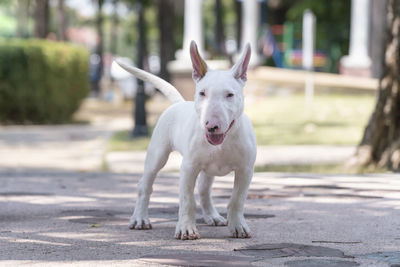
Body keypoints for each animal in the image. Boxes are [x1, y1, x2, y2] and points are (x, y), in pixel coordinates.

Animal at [116, 41, 256, 241]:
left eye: (230, 95)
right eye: (202, 93)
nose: (211, 126)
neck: (223, 143)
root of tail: (178, 103)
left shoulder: (246, 170)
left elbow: (237, 199)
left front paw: (238, 226)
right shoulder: (189, 168)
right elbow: (187, 200)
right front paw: (186, 229)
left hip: (208, 170)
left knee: (204, 190)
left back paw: (212, 216)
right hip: (157, 156)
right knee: (145, 185)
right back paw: (140, 219)